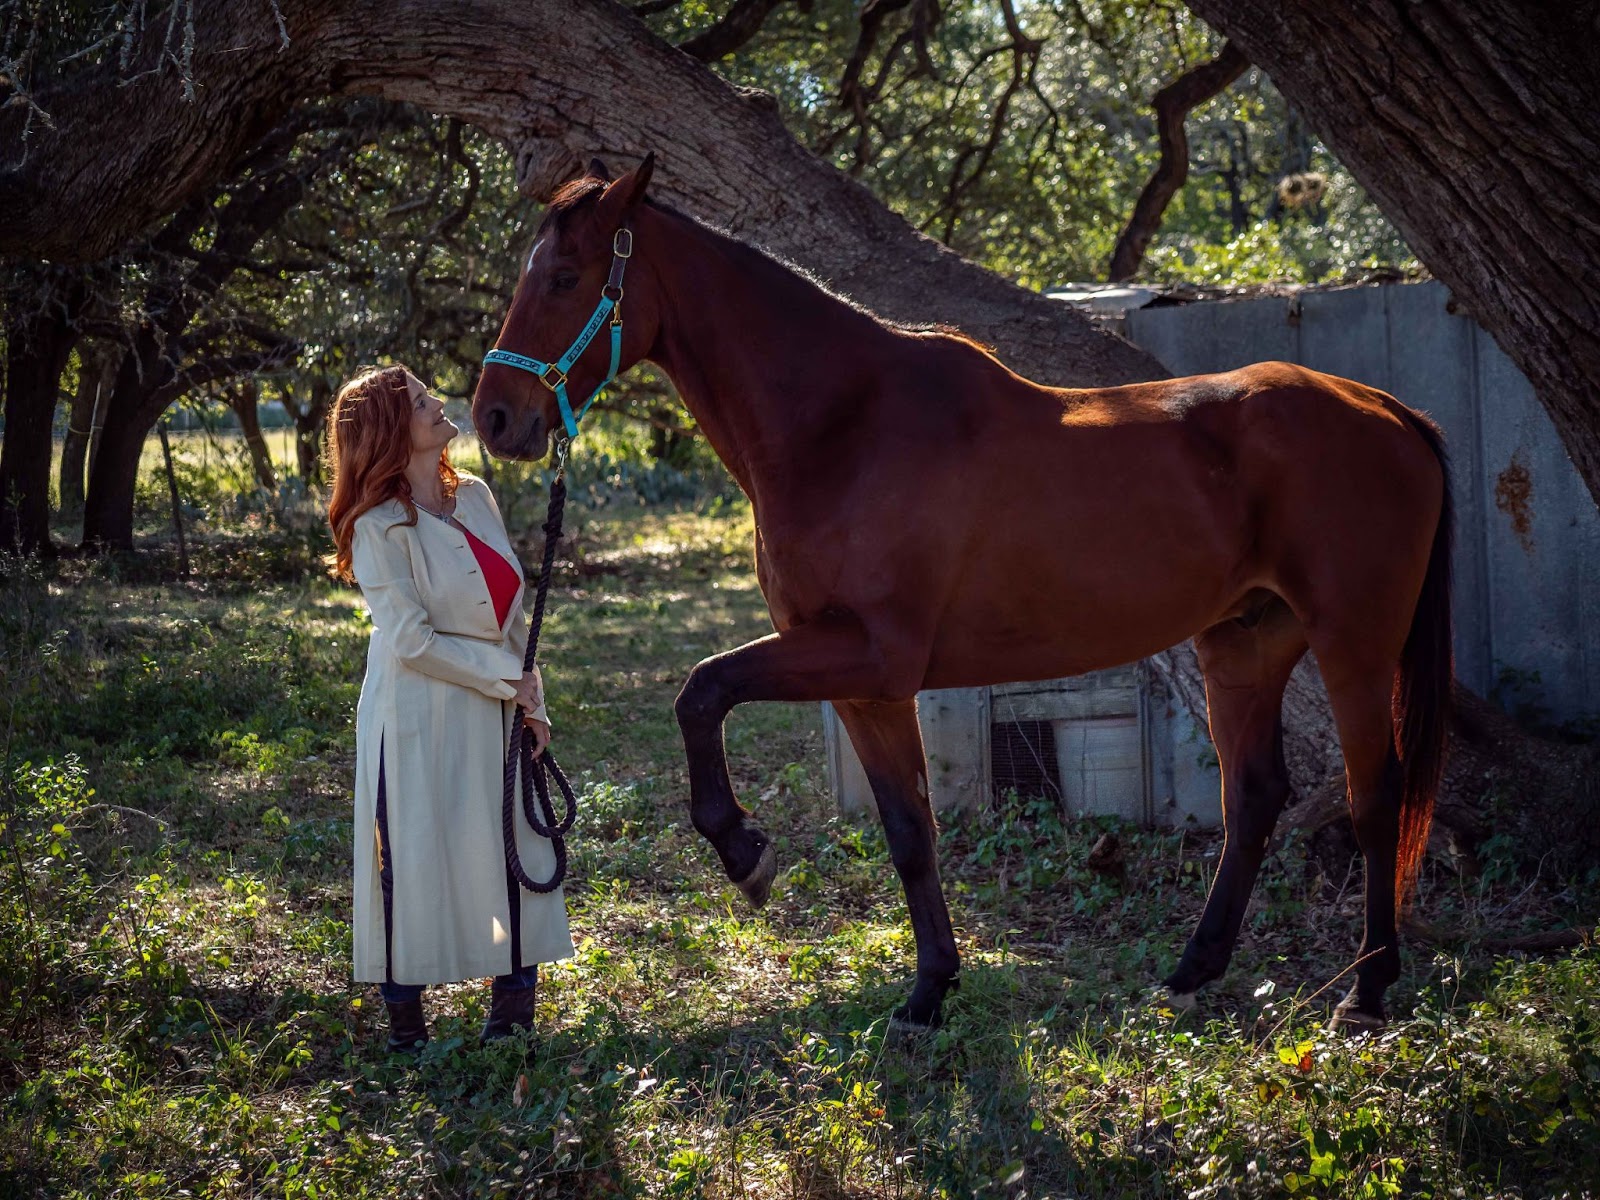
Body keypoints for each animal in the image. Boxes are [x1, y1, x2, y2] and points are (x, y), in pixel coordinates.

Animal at [470, 157, 1452, 1036]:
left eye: (564, 276)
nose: (494, 417)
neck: (845, 427)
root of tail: (1389, 411)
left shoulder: (868, 653)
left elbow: (701, 690)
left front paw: (746, 853)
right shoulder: (865, 684)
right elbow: (910, 830)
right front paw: (928, 992)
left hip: (1353, 643)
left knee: (1376, 797)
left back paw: (1368, 992)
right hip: (1243, 644)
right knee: (1252, 796)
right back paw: (1191, 973)